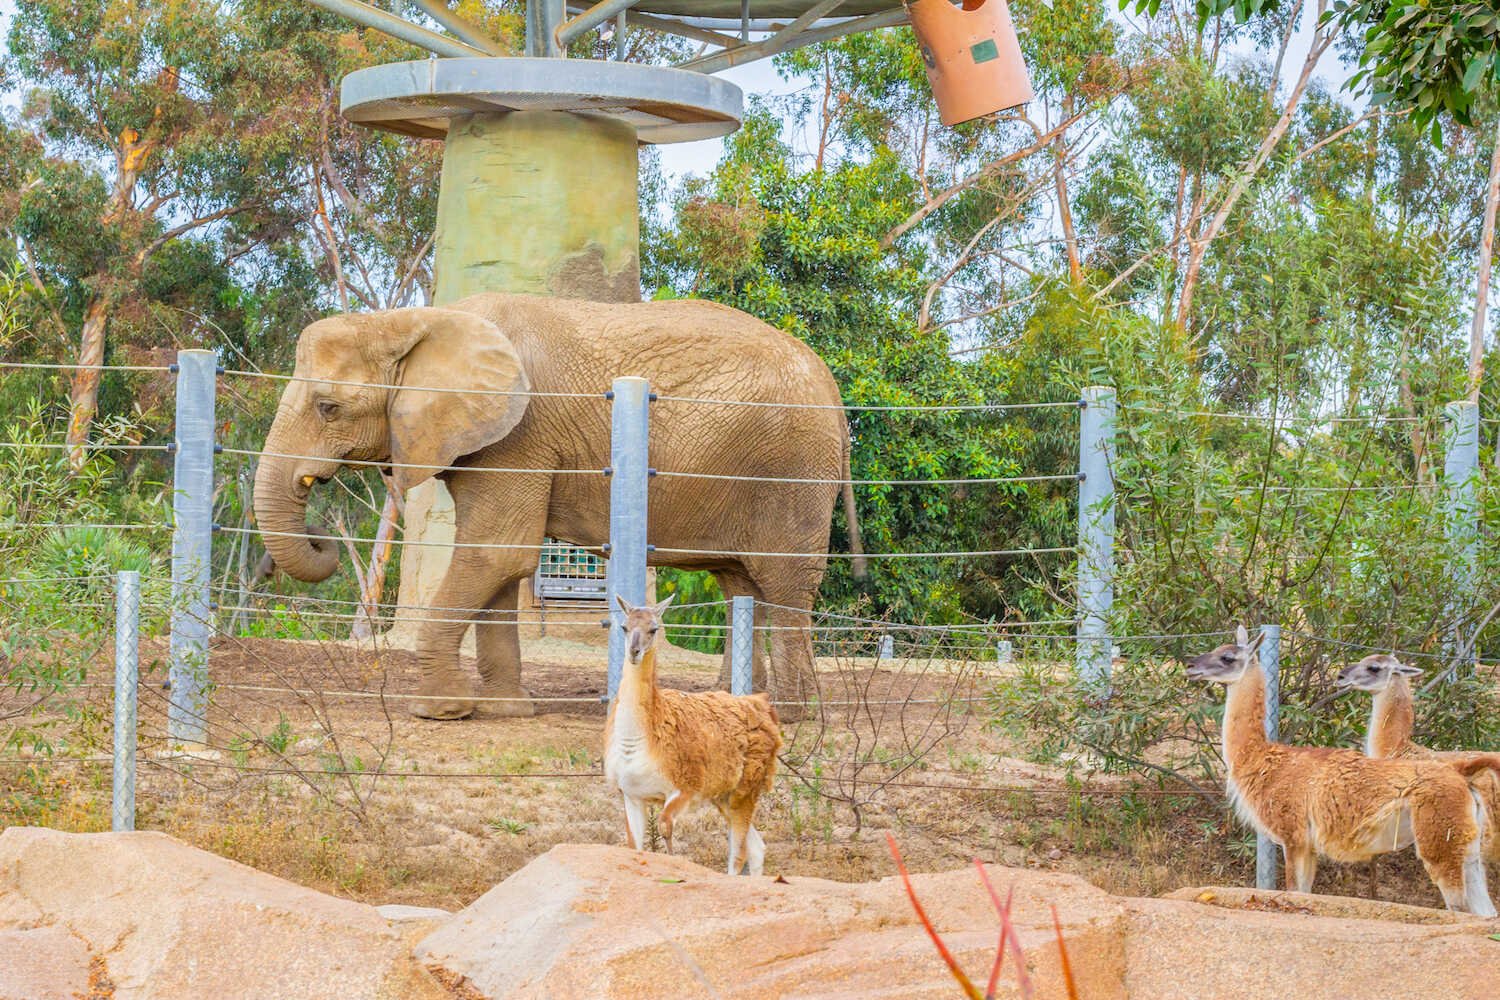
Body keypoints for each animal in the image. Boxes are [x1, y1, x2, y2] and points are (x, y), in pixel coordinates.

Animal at [255, 289, 870, 719]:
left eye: (328, 407)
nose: (323, 534)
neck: (416, 319)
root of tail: (834, 392)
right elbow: (496, 563)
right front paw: (507, 711)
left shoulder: (520, 437)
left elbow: (496, 553)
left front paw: (439, 712)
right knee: (742, 582)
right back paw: (731, 702)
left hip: (791, 470)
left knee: (783, 583)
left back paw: (789, 715)